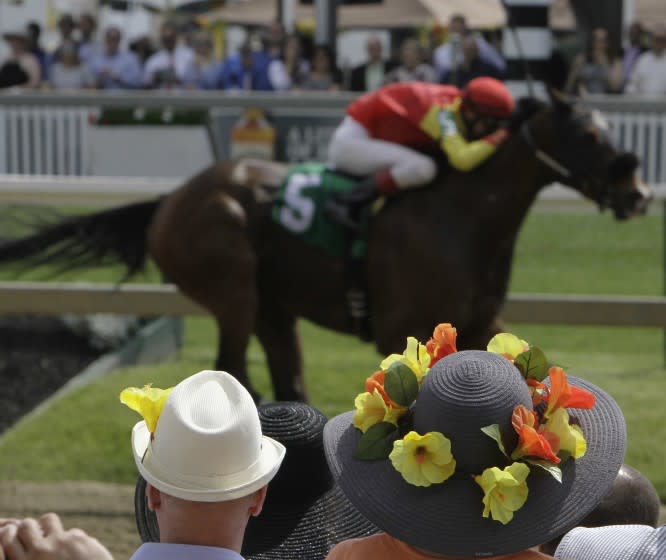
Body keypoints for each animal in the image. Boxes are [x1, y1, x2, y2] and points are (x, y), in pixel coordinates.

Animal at [0, 94, 648, 400]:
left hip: (274, 308)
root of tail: (170, 199)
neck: (462, 216)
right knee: (233, 371)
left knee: (285, 378)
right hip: (232, 287)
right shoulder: (399, 328)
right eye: (588, 132)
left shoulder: (482, 321)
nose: (638, 192)